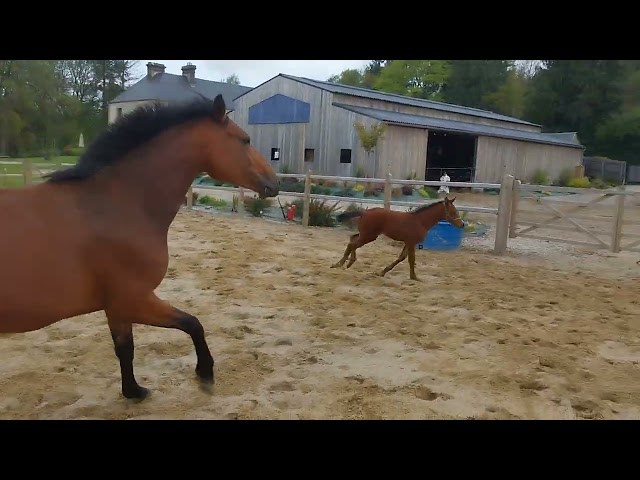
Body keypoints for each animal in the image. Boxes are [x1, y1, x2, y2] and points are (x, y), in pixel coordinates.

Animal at [0, 94, 279, 401]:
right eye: (245, 140)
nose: (275, 182)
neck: (116, 205)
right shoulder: (134, 300)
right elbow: (193, 323)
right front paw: (205, 373)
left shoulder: (116, 307)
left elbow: (125, 348)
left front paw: (133, 391)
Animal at [331, 197, 464, 281]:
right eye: (453, 212)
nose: (462, 224)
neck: (420, 221)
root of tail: (364, 212)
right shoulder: (411, 242)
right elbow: (411, 259)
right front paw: (414, 277)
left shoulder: (408, 242)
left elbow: (401, 258)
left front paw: (382, 272)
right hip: (369, 236)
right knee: (353, 244)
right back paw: (343, 263)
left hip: (366, 234)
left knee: (352, 239)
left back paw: (343, 263)